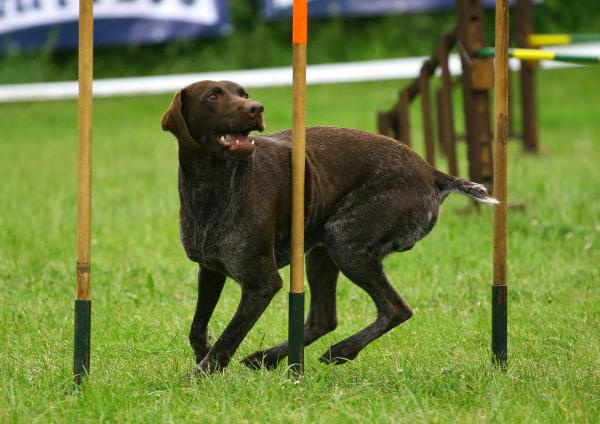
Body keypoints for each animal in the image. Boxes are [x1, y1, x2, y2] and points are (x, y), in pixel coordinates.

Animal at [161, 79, 496, 374]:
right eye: (213, 95)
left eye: (243, 93)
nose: (256, 108)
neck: (212, 184)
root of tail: (431, 172)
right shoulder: (210, 270)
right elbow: (198, 328)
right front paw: (204, 356)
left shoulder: (261, 284)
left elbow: (229, 336)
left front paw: (202, 373)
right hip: (321, 252)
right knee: (324, 319)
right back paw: (268, 358)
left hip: (344, 240)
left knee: (395, 309)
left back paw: (340, 352)